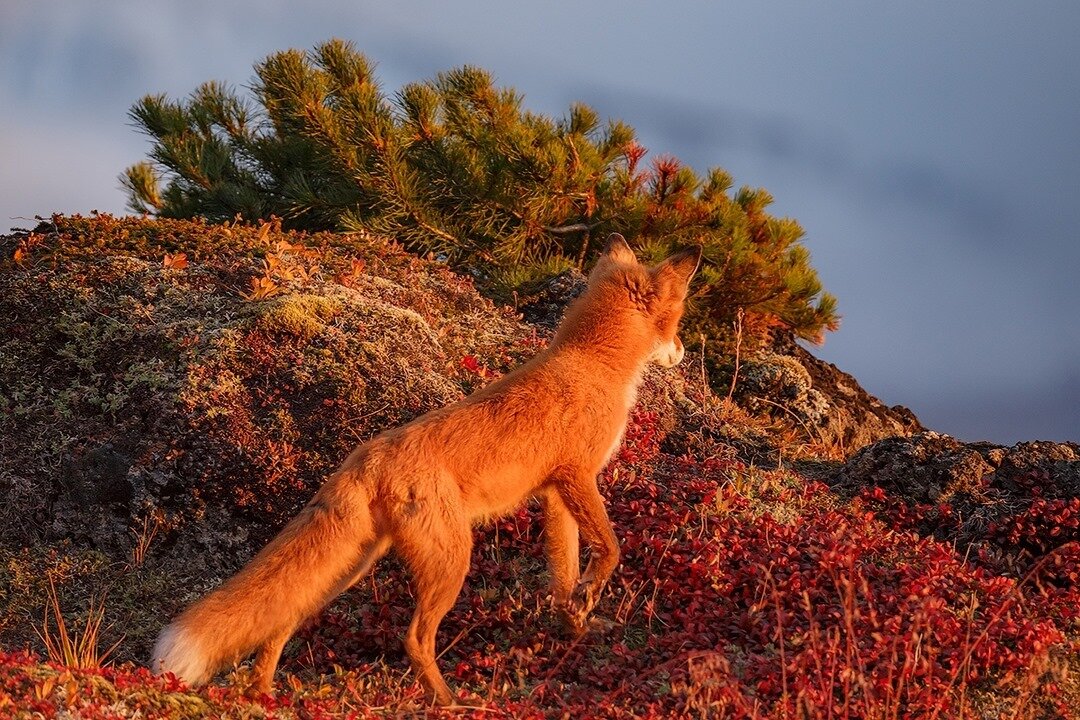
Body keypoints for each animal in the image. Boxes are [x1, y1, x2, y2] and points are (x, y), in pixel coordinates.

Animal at [152, 234, 704, 708]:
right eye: (678, 320)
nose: (681, 353)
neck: (592, 363)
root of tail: (365, 456)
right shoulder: (576, 475)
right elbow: (610, 550)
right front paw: (589, 599)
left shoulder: (553, 492)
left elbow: (562, 577)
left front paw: (575, 625)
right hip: (450, 561)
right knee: (414, 639)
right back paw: (449, 702)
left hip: (350, 569)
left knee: (281, 620)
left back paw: (264, 695)